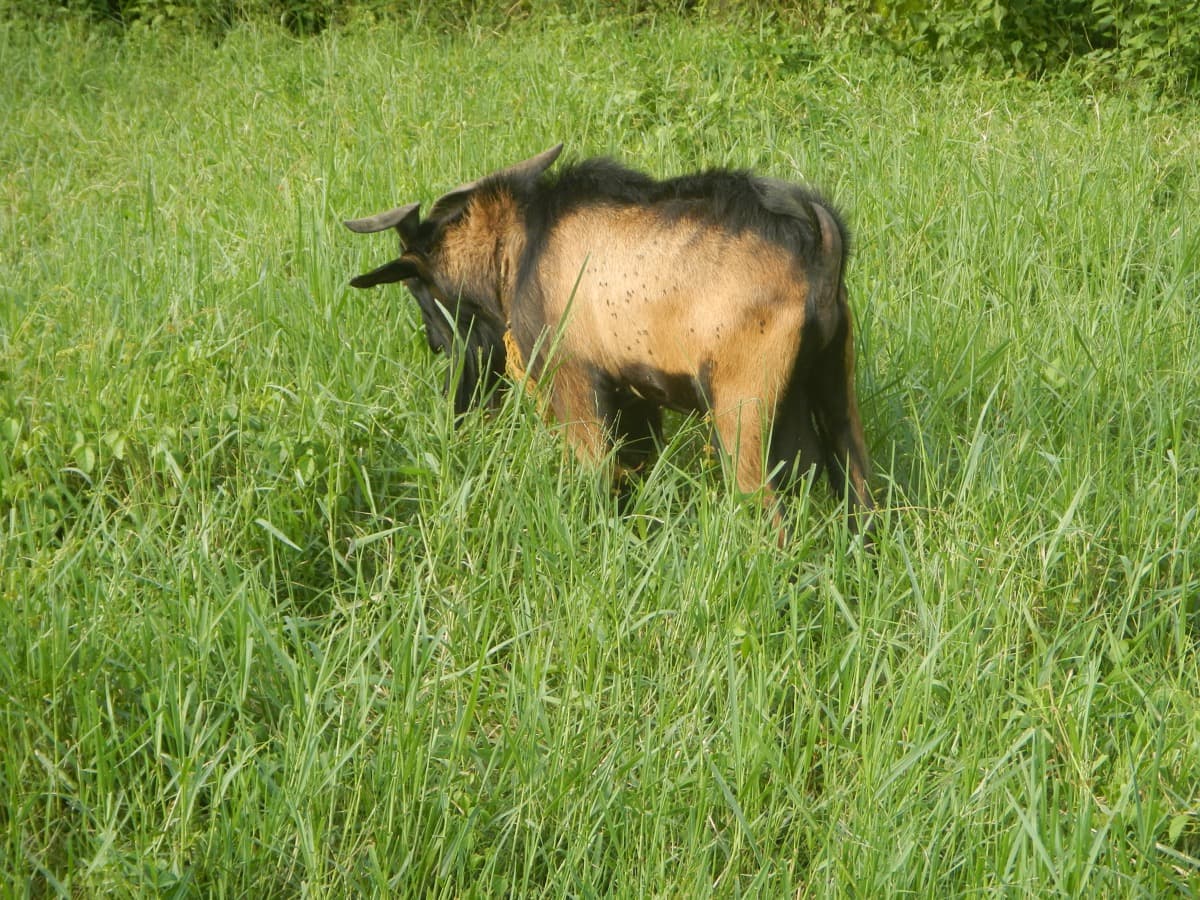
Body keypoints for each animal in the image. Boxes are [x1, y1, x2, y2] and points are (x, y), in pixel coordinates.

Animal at [345, 144, 873, 536]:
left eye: (420, 290)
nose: (438, 348)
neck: (519, 250)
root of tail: (820, 241)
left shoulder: (574, 381)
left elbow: (598, 475)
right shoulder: (636, 394)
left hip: (743, 406)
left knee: (767, 511)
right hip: (833, 385)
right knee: (861, 493)